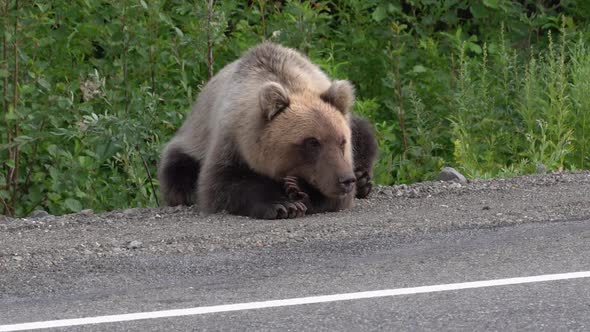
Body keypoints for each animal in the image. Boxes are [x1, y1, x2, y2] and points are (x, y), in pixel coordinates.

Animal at [158, 41, 380, 219]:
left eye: (342, 141)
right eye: (312, 142)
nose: (346, 180)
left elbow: (336, 198)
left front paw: (299, 188)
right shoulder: (230, 139)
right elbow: (222, 184)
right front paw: (284, 205)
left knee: (365, 134)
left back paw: (362, 179)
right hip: (190, 141)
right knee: (176, 169)